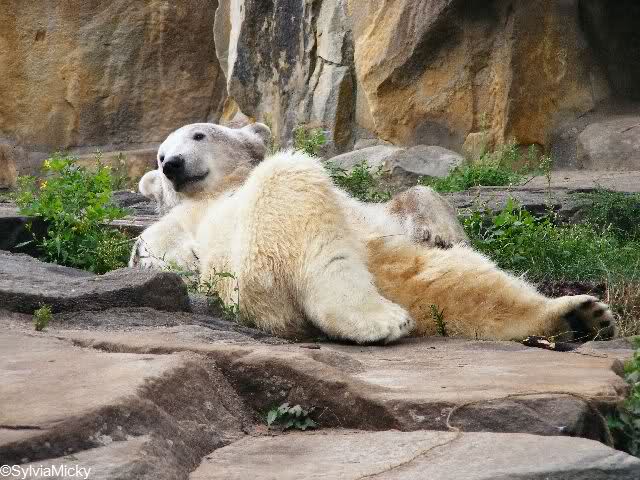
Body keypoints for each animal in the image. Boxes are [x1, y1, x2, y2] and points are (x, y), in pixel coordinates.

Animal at [131, 122, 616, 344]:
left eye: (199, 135)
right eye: (158, 156)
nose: (172, 165)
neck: (220, 189)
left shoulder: (382, 220)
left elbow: (412, 202)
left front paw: (440, 229)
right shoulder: (188, 221)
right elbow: (157, 247)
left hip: (400, 264)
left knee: (469, 284)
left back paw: (580, 314)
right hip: (256, 265)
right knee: (295, 181)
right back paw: (375, 319)